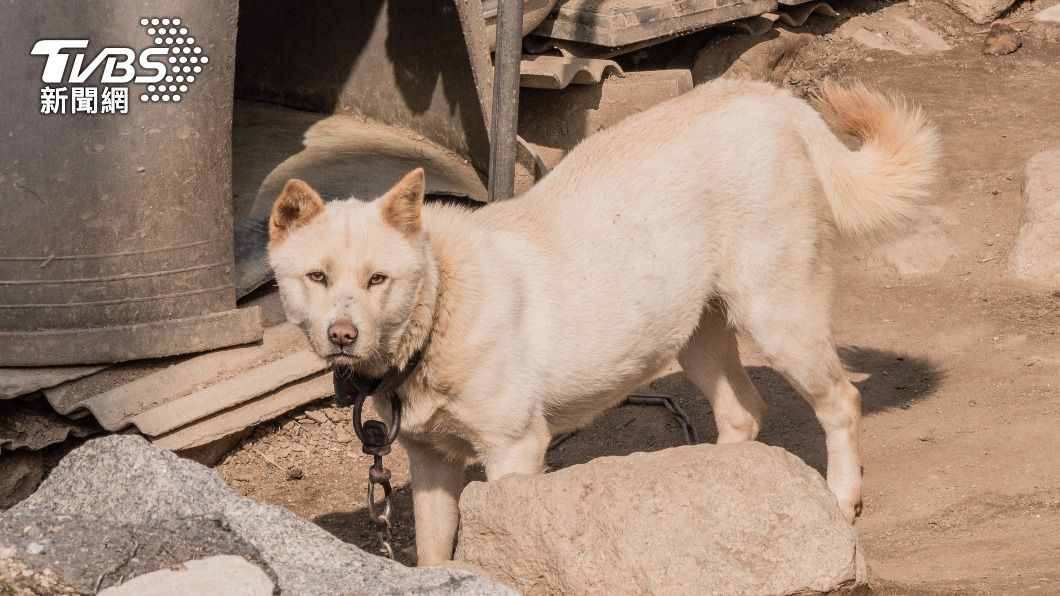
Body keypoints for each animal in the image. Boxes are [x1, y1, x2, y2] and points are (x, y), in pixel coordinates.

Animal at [265, 77, 937, 559]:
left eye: (378, 279)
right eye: (318, 277)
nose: (343, 336)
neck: (441, 304)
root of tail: (767, 96)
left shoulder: (515, 452)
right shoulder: (432, 462)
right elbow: (435, 553)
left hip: (778, 316)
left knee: (841, 401)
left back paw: (841, 498)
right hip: (695, 335)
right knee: (744, 412)